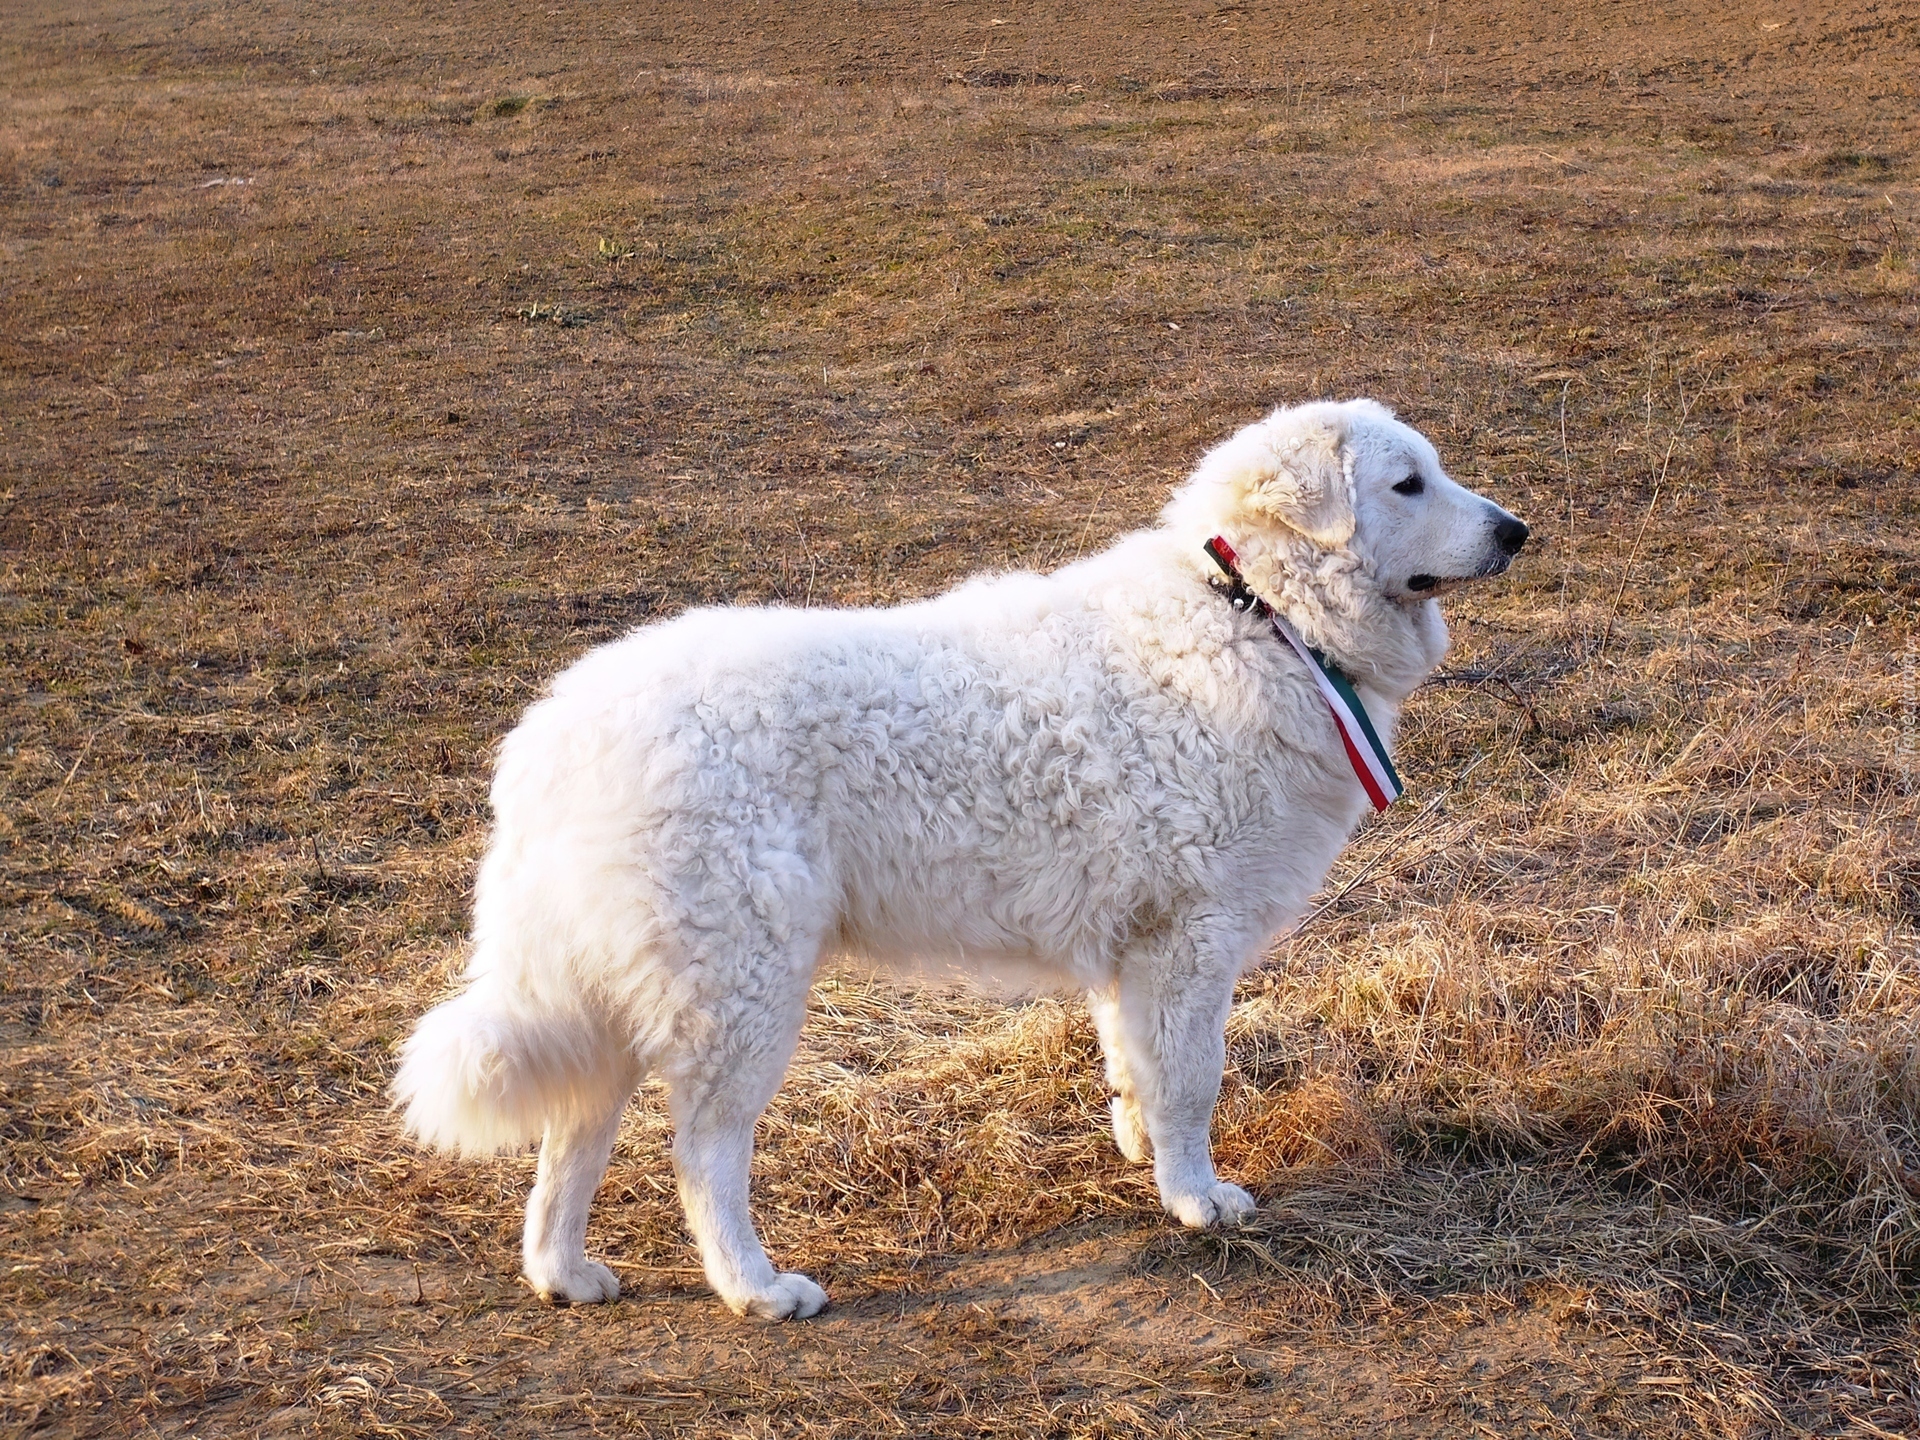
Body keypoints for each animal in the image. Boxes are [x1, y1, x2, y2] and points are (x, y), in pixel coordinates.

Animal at [393, 401, 1528, 1328]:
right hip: (740, 986)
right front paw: (1198, 1199)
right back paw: (755, 1288)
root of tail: (556, 733)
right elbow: (1192, 1082)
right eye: (1407, 484)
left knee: (572, 1139)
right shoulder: (1190, 940)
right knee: (702, 1152)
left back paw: (563, 1274)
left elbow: (1134, 1067)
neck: (1256, 615)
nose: (1517, 530)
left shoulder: (1135, 948)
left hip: (623, 988)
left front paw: (1140, 1153)